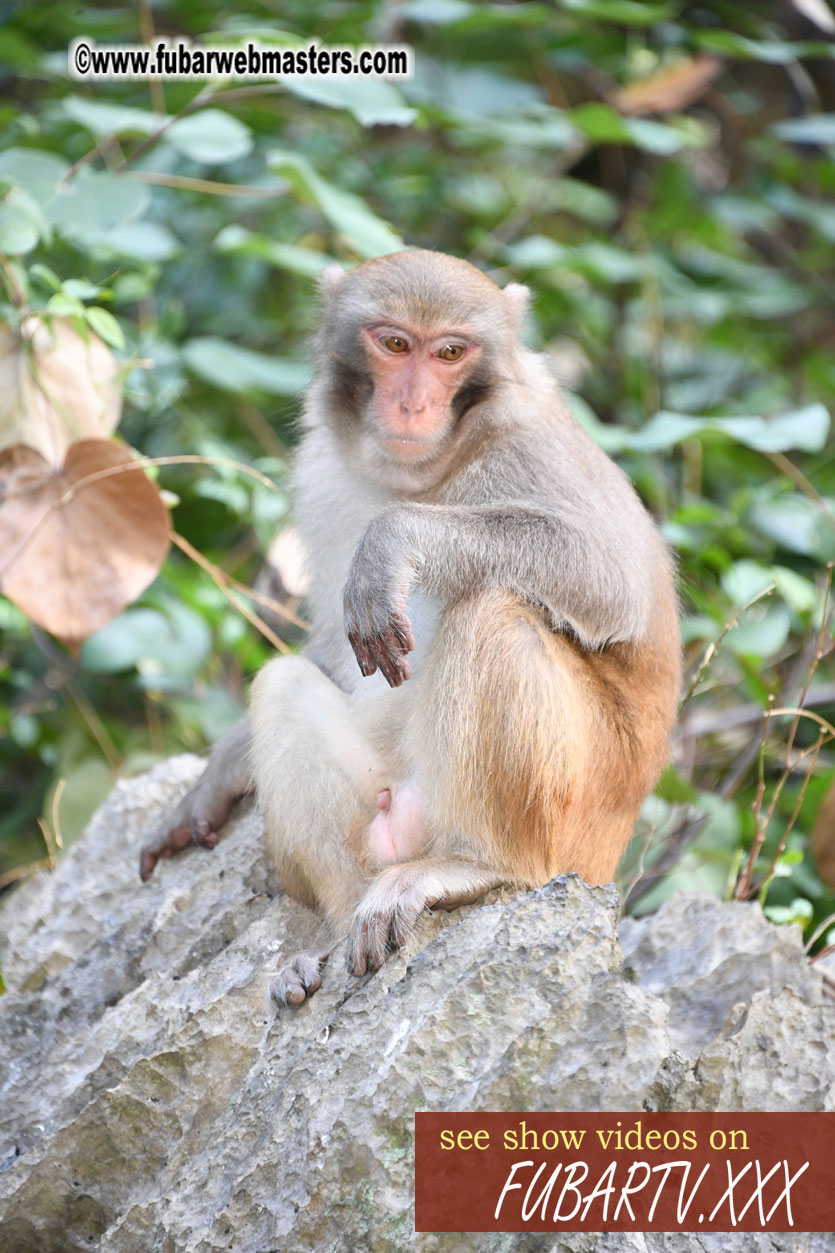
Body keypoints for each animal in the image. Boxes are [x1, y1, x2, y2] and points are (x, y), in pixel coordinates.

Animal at [139, 249, 682, 1002]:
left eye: (450, 352)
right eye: (395, 344)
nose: (412, 403)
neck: (425, 472)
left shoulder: (532, 448)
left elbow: (608, 573)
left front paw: (392, 539)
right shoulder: (322, 472)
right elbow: (323, 650)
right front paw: (215, 777)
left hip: (570, 833)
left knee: (492, 611)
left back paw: (478, 865)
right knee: (284, 681)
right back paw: (335, 931)